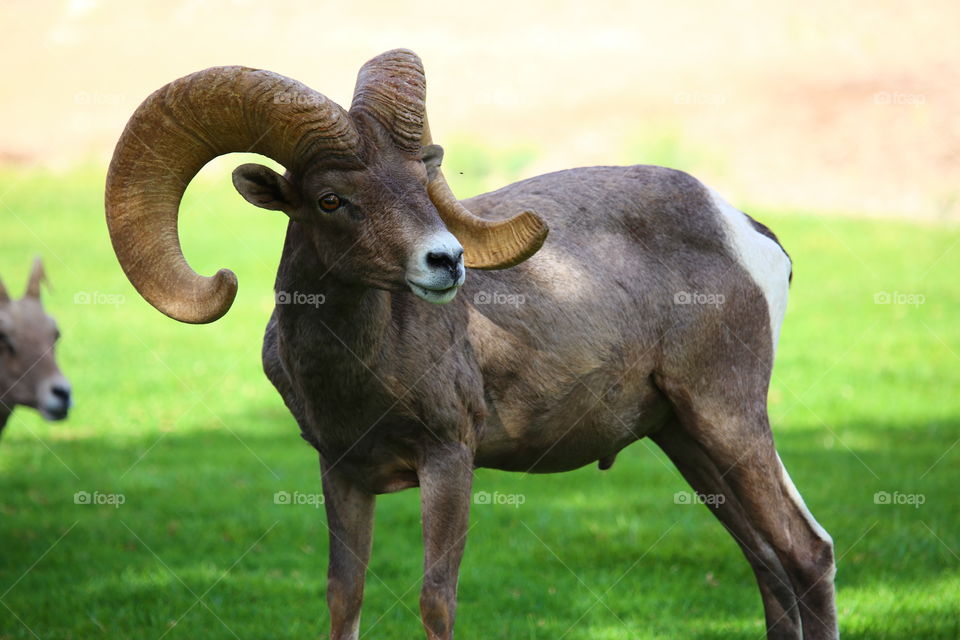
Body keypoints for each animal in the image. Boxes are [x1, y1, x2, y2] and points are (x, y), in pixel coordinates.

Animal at [105, 49, 837, 639]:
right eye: (330, 199)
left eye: (420, 182)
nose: (447, 261)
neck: (358, 373)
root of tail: (747, 232)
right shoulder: (342, 472)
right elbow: (345, 598)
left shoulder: (449, 459)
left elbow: (437, 600)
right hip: (684, 439)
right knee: (769, 564)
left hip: (726, 418)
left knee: (807, 554)